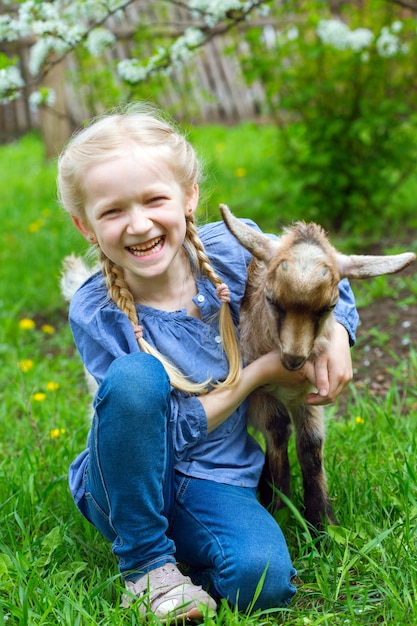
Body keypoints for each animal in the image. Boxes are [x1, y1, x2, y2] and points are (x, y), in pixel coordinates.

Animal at [219, 204, 414, 528]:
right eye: (271, 299)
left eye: (330, 307)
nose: (293, 359)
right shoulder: (257, 393)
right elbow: (277, 429)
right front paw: (281, 509)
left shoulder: (309, 394)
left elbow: (311, 444)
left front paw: (322, 522)